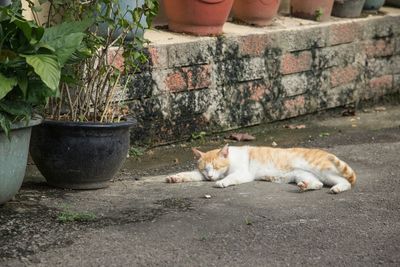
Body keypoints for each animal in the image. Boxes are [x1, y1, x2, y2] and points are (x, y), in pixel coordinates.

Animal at [166, 144, 356, 195]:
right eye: (205, 170)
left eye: (217, 167)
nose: (210, 177)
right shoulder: (199, 174)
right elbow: (189, 175)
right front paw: (175, 177)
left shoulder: (243, 173)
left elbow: (231, 178)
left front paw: (222, 182)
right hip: (302, 174)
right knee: (317, 184)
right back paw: (304, 186)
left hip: (324, 170)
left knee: (345, 181)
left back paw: (338, 188)